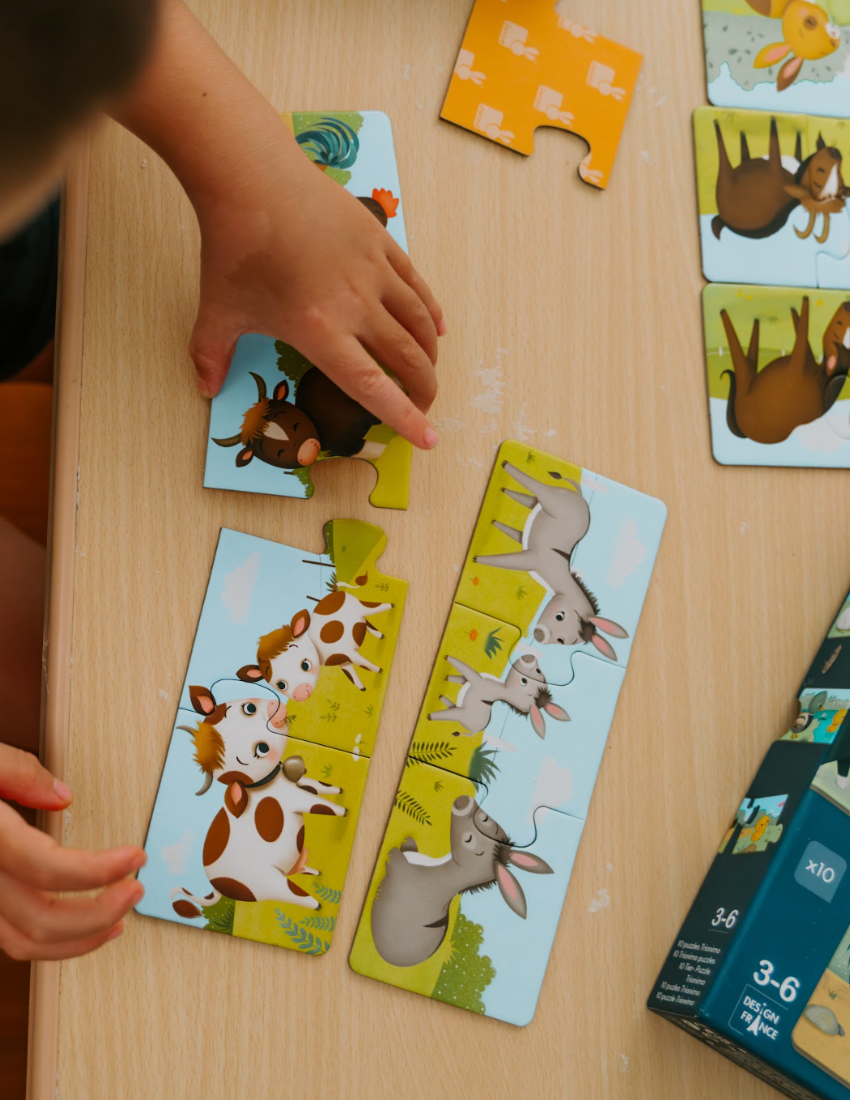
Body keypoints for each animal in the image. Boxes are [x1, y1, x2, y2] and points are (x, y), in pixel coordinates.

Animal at [169, 682, 345, 915]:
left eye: (249, 708)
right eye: (262, 749)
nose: (275, 710)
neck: (265, 781)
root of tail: (215, 886)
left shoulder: (299, 782)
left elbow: (321, 787)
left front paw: (341, 790)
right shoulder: (294, 798)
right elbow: (322, 805)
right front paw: (345, 812)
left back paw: (313, 872)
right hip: (267, 883)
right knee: (297, 896)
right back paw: (317, 905)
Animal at [237, 576, 393, 695]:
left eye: (305, 665)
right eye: (281, 685)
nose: (300, 691)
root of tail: (335, 593)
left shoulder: (348, 652)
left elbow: (365, 664)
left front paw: (380, 670)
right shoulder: (345, 663)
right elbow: (353, 677)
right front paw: (363, 689)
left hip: (359, 606)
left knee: (375, 607)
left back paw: (392, 606)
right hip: (359, 617)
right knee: (367, 624)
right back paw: (381, 636)